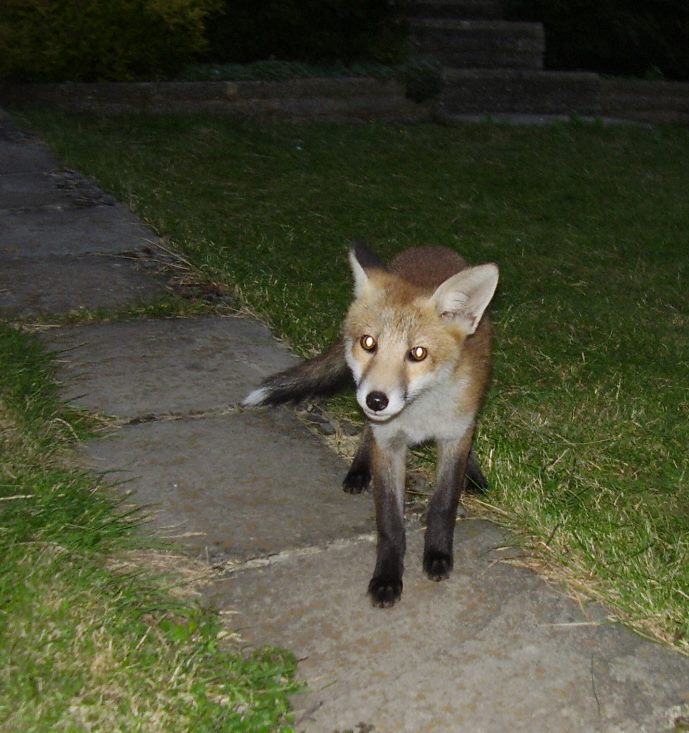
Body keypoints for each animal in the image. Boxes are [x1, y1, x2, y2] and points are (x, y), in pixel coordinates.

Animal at [242, 243, 494, 608]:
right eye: (368, 343)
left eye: (418, 353)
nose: (376, 400)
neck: (418, 415)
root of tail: (431, 248)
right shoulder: (387, 444)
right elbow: (389, 523)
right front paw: (387, 577)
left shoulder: (453, 434)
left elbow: (445, 502)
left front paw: (437, 554)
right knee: (365, 433)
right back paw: (359, 469)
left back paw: (473, 474)